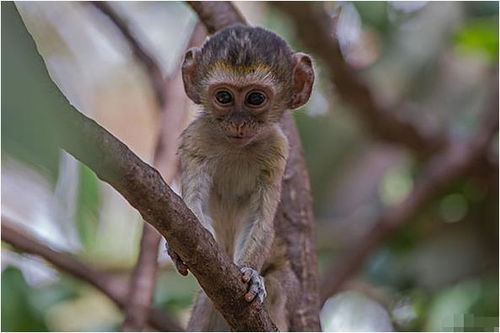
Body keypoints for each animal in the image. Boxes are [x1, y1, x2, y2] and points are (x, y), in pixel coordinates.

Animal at [170, 24, 314, 330]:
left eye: (255, 98)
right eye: (224, 97)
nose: (238, 123)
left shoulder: (277, 151)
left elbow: (260, 219)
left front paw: (252, 276)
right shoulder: (195, 139)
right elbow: (192, 209)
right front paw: (175, 249)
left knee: (280, 282)